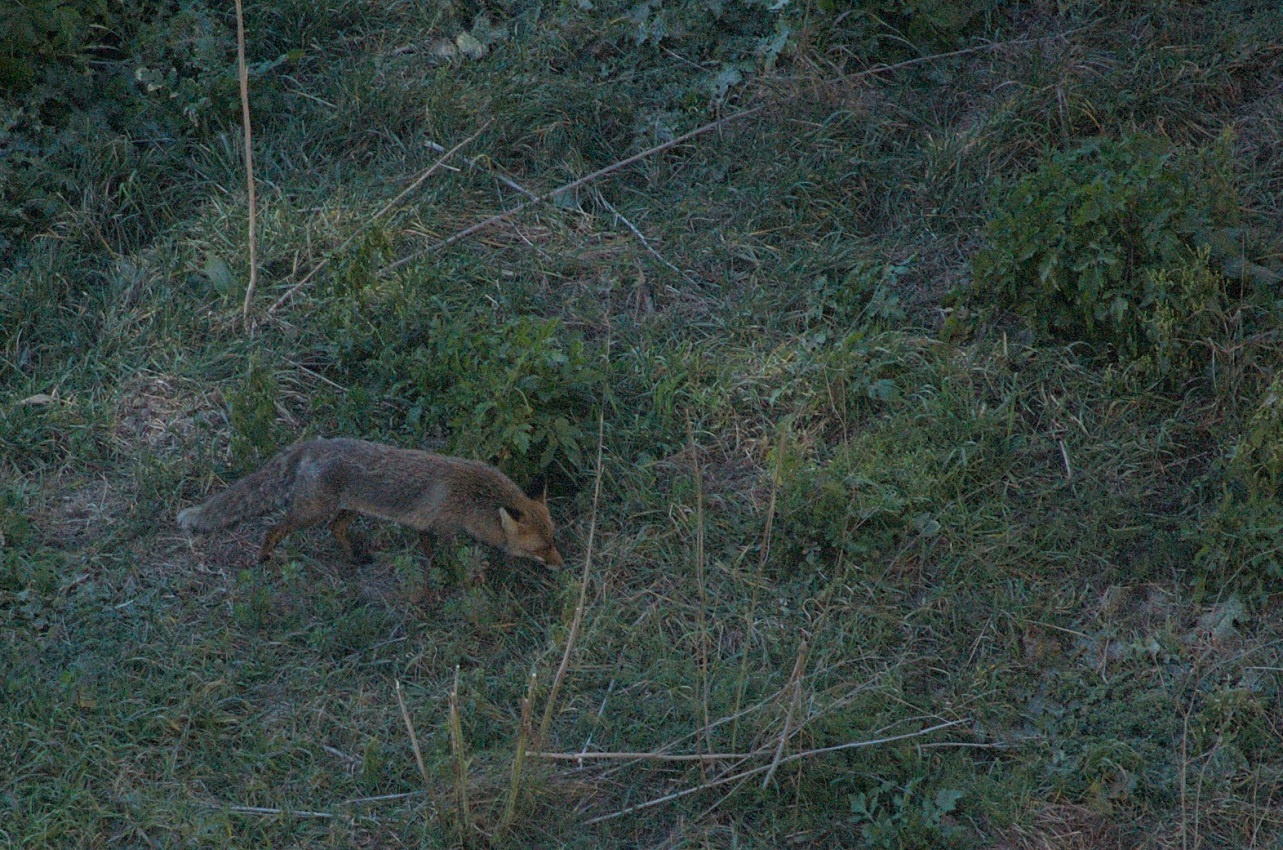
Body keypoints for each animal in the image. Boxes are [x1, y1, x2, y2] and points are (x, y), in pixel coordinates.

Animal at [175, 438, 561, 571]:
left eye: (553, 541)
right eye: (541, 548)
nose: (561, 565)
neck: (472, 496)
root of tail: (313, 444)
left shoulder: (425, 527)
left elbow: (428, 552)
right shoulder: (443, 527)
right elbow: (444, 557)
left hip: (347, 510)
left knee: (336, 529)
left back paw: (354, 558)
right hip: (310, 512)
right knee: (274, 528)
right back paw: (263, 557)